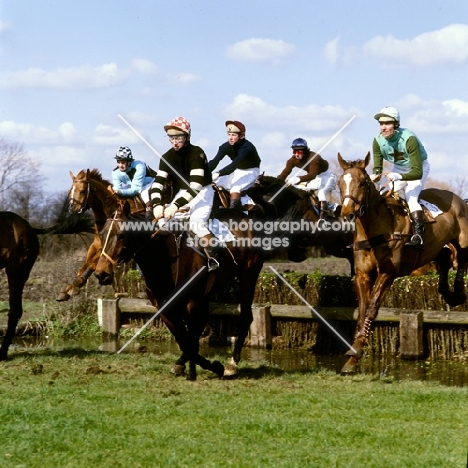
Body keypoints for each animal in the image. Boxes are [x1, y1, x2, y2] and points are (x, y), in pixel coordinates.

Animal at [58, 170, 146, 302]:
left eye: (82, 190)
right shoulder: (98, 247)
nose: (72, 209)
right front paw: (71, 288)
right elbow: (87, 267)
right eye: (70, 191)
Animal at [93, 202, 266, 380]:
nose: (101, 274)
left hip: (248, 276)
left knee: (245, 317)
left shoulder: (192, 302)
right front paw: (184, 365)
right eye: (101, 234)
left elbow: (190, 340)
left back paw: (232, 364)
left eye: (121, 235)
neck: (165, 260)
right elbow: (183, 340)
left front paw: (214, 367)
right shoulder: (164, 307)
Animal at [336, 153, 468, 372]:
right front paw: (353, 356)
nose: (347, 214)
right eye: (339, 183)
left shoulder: (388, 273)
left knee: (462, 260)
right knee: (445, 259)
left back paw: (458, 292)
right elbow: (361, 310)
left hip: (462, 239)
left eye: (363, 183)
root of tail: (458, 198)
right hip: (435, 248)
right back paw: (449, 293)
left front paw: (358, 349)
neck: (374, 232)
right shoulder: (363, 275)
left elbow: (371, 307)